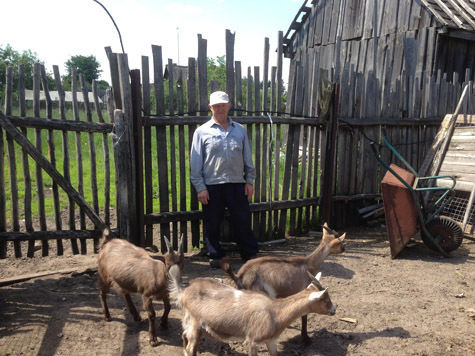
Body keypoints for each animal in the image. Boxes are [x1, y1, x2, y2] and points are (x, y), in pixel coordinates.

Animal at [169, 266, 336, 354]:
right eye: (325, 299)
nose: (334, 310)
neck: (275, 311)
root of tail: (183, 292)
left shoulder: (271, 340)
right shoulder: (253, 341)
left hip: (194, 325)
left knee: (185, 337)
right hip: (195, 324)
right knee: (190, 349)